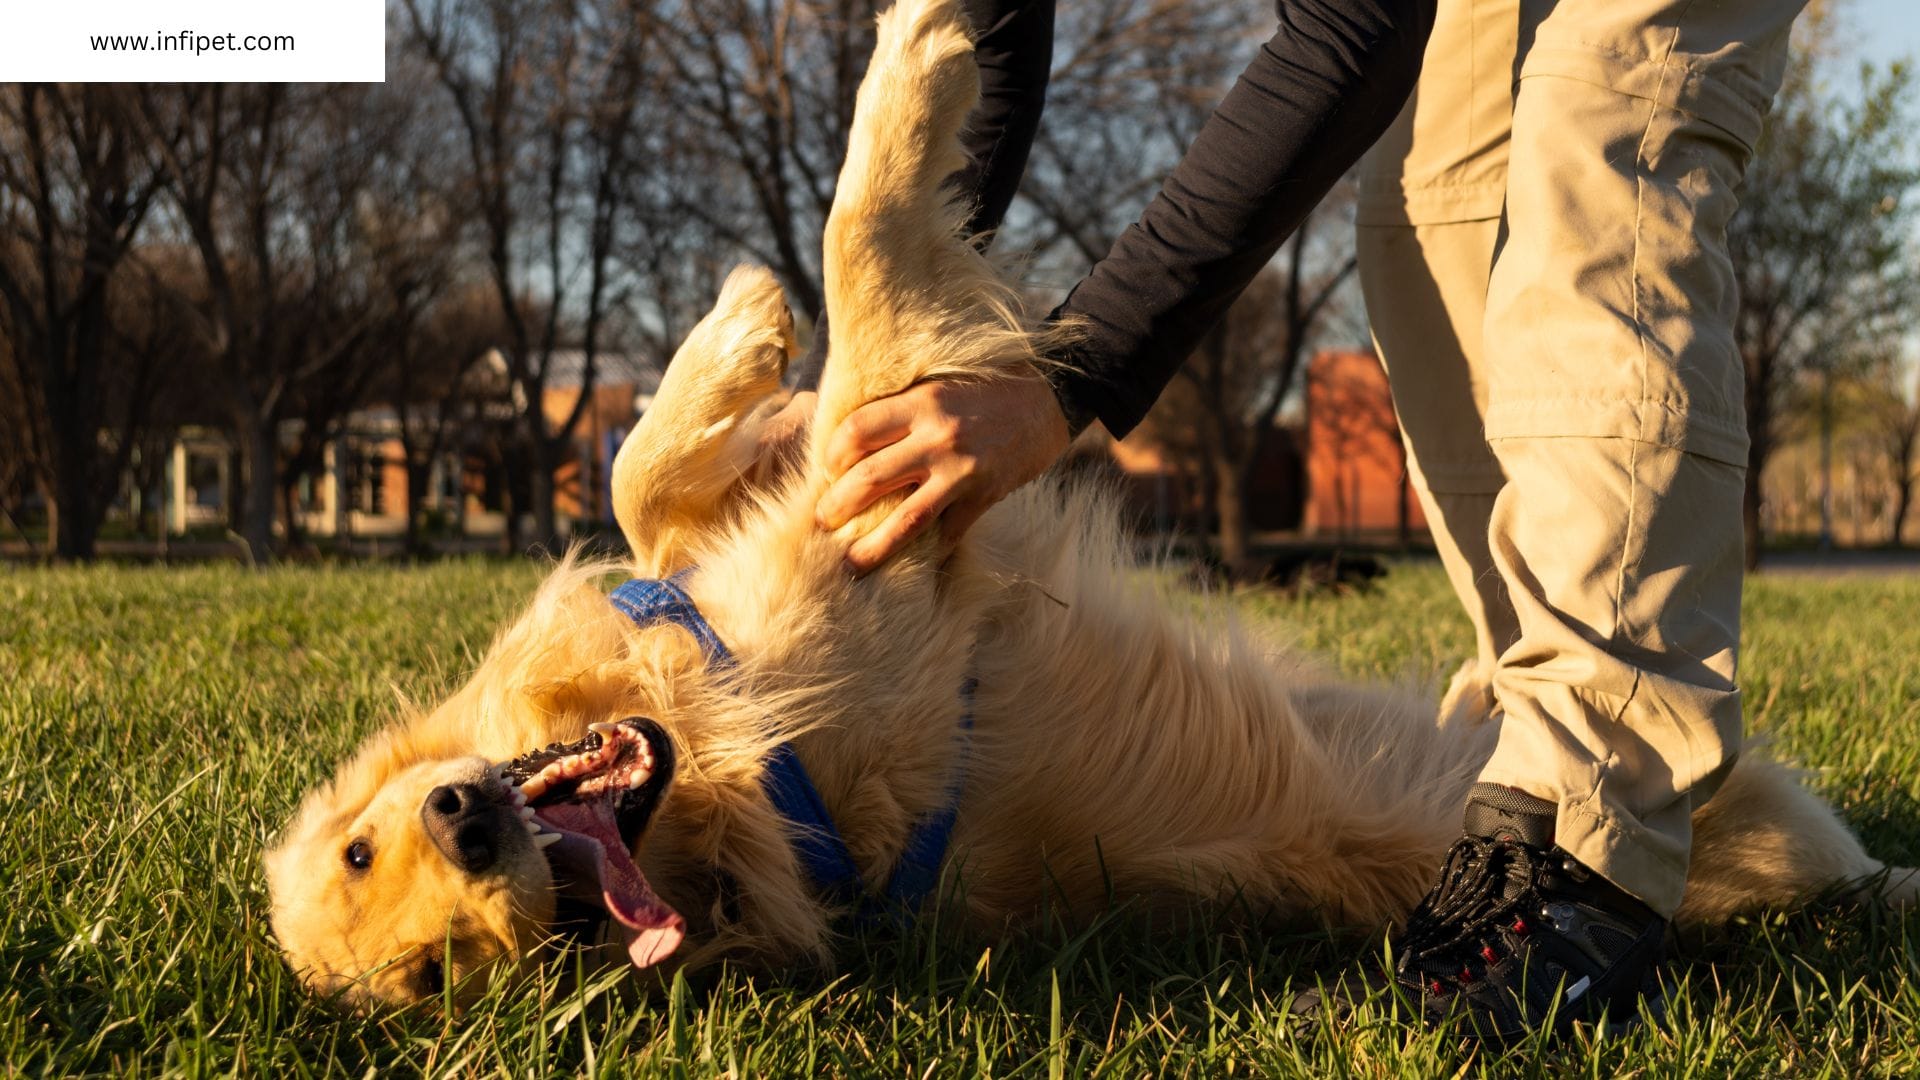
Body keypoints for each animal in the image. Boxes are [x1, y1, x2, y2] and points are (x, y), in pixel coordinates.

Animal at [266, 0, 1920, 1006]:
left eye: (359, 850)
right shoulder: (875, 545)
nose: (469, 825)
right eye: (438, 974)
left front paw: (736, 333)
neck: (701, 760)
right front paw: (910, 68)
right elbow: (863, 238)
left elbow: (646, 465)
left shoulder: (788, 525)